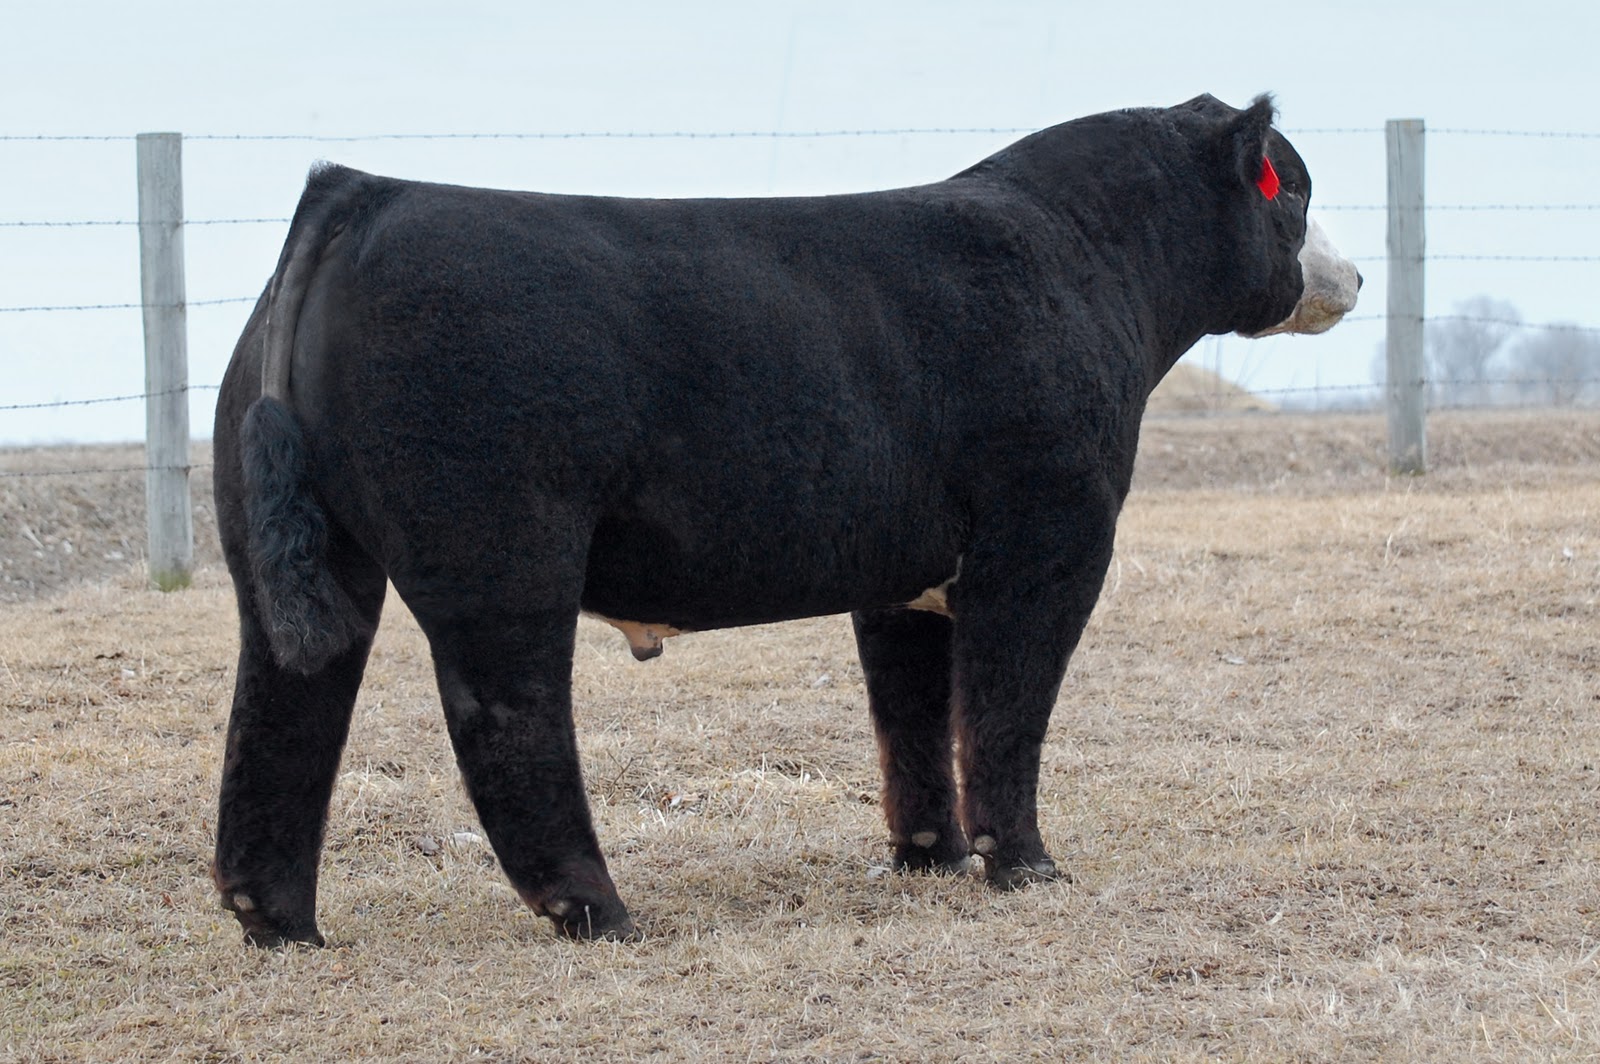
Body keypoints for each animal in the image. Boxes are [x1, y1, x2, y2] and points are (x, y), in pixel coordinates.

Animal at [210, 94, 1359, 946]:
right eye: (1293, 187)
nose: (1349, 272)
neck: (1085, 261)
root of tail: (359, 193)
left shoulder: (904, 575)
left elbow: (910, 714)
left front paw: (930, 857)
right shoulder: (1048, 540)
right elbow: (1004, 703)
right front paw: (1024, 864)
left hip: (296, 560)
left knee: (283, 711)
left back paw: (280, 923)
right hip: (502, 548)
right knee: (506, 715)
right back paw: (601, 910)